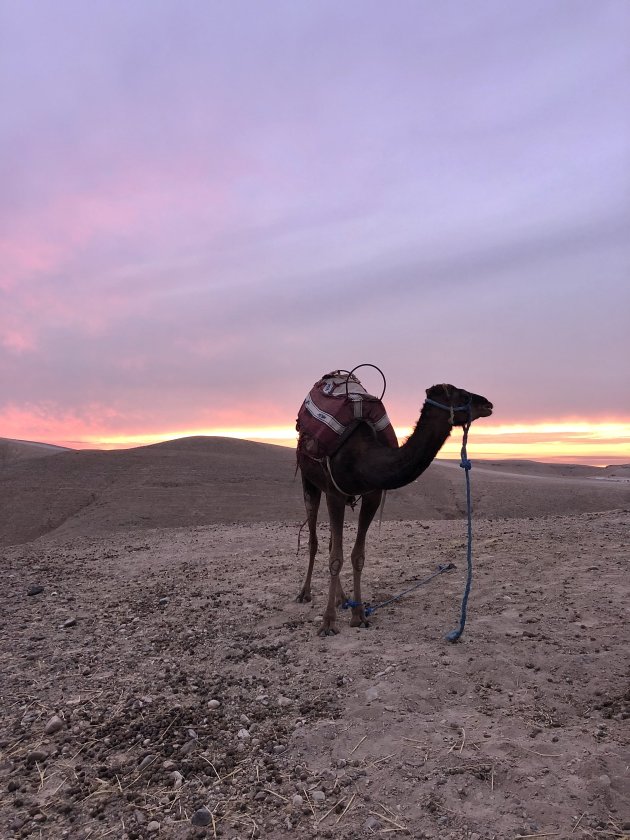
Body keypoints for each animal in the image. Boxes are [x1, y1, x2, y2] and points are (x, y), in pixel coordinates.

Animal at [296, 382, 494, 636]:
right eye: (463, 395)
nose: (488, 404)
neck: (364, 458)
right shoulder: (334, 493)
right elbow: (335, 558)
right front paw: (328, 622)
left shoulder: (372, 495)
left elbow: (357, 556)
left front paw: (359, 615)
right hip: (309, 481)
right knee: (313, 541)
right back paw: (305, 593)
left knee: (331, 542)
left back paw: (343, 599)